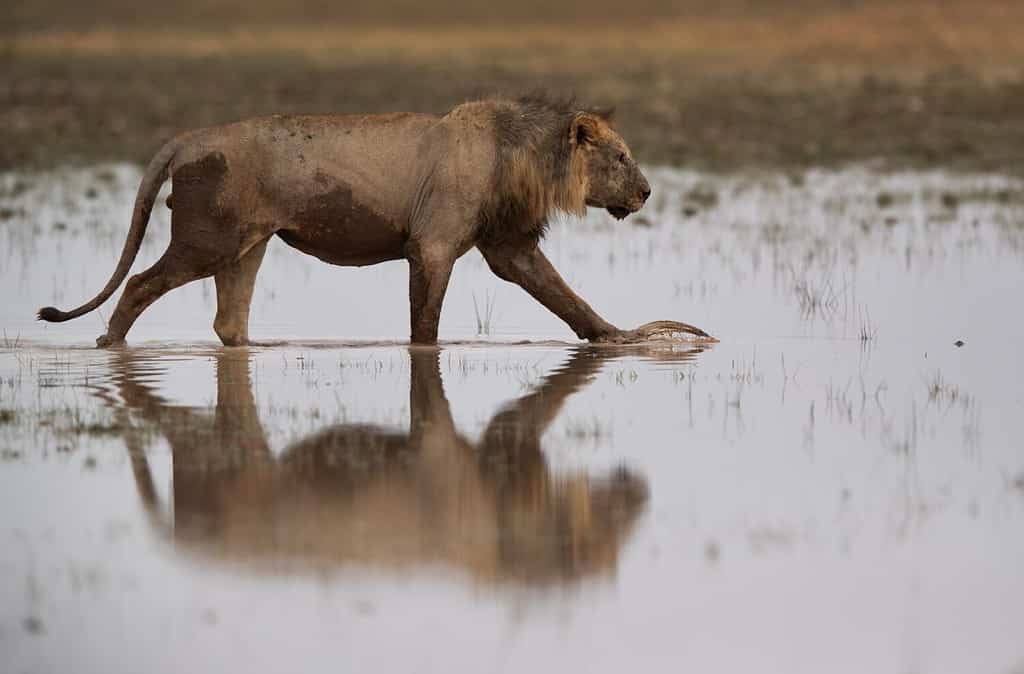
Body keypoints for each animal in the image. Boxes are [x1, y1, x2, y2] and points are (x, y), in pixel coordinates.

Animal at [39, 93, 712, 346]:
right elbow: (426, 324)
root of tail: (185, 139)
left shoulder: (509, 246)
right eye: (620, 156)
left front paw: (623, 338)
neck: (524, 158)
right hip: (208, 239)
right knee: (136, 284)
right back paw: (109, 346)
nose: (647, 191)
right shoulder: (432, 245)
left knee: (229, 322)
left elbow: (568, 299)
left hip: (246, 246)